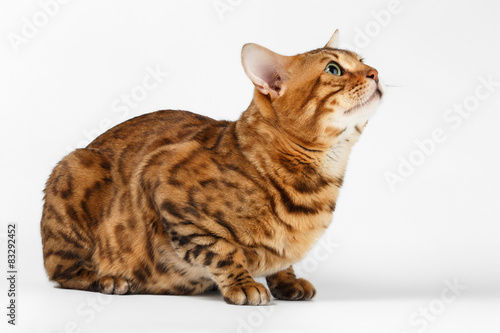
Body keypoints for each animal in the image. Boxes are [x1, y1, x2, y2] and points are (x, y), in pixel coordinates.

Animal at [41, 31, 382, 304]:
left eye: (362, 60)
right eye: (333, 69)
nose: (376, 73)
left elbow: (281, 260)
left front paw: (287, 280)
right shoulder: (161, 176)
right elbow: (221, 250)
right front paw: (243, 283)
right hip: (75, 169)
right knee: (61, 272)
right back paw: (109, 279)